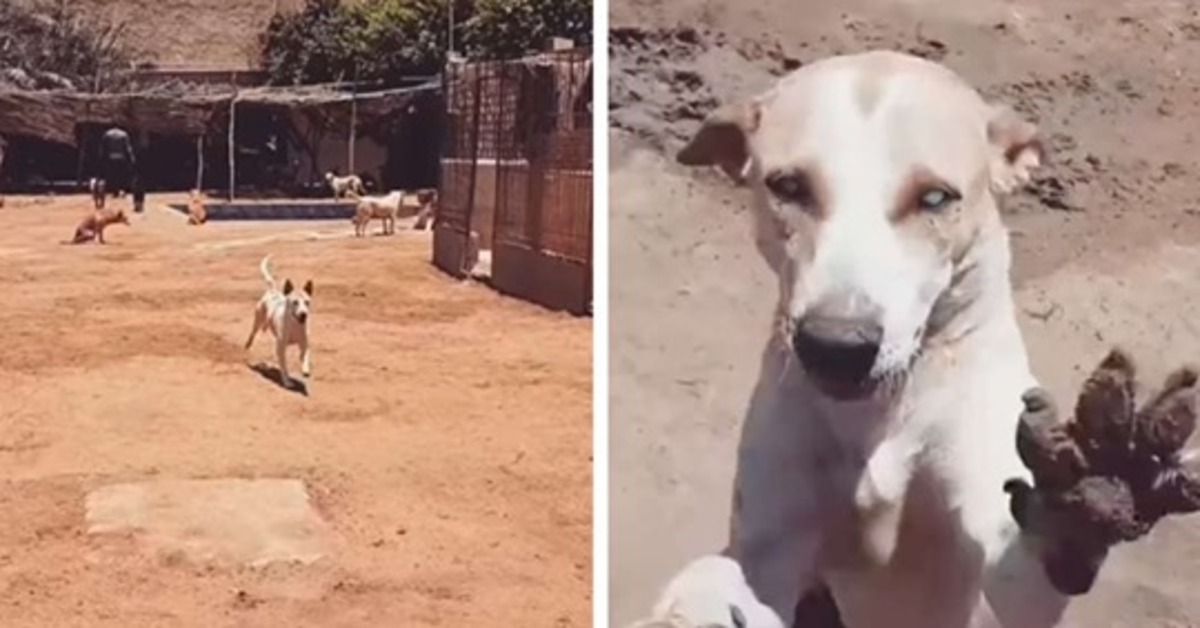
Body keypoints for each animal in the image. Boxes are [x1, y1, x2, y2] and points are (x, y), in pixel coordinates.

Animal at [244, 254, 314, 391]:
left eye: (307, 302)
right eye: (295, 302)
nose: (303, 314)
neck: (294, 326)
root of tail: (272, 291)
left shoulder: (304, 344)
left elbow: (305, 356)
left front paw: (305, 370)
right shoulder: (281, 349)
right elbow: (284, 367)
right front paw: (287, 382)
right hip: (258, 319)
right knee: (253, 333)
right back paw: (248, 344)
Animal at [643, 51, 1128, 628]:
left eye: (935, 197)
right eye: (788, 187)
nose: (836, 348)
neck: (881, 416)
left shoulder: (1004, 567)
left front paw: (1078, 509)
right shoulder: (771, 546)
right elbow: (730, 573)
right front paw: (695, 602)